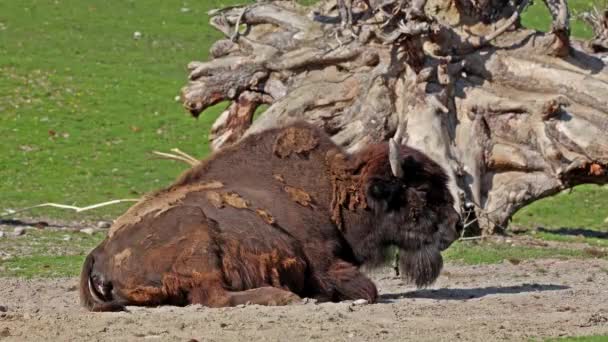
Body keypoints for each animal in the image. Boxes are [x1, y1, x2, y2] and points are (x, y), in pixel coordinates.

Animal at [79, 122, 460, 310]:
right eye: (422, 189)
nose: (456, 225)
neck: (333, 193)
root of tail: (99, 251)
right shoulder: (323, 262)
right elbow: (368, 289)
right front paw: (317, 295)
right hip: (198, 240)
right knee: (213, 297)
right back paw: (281, 296)